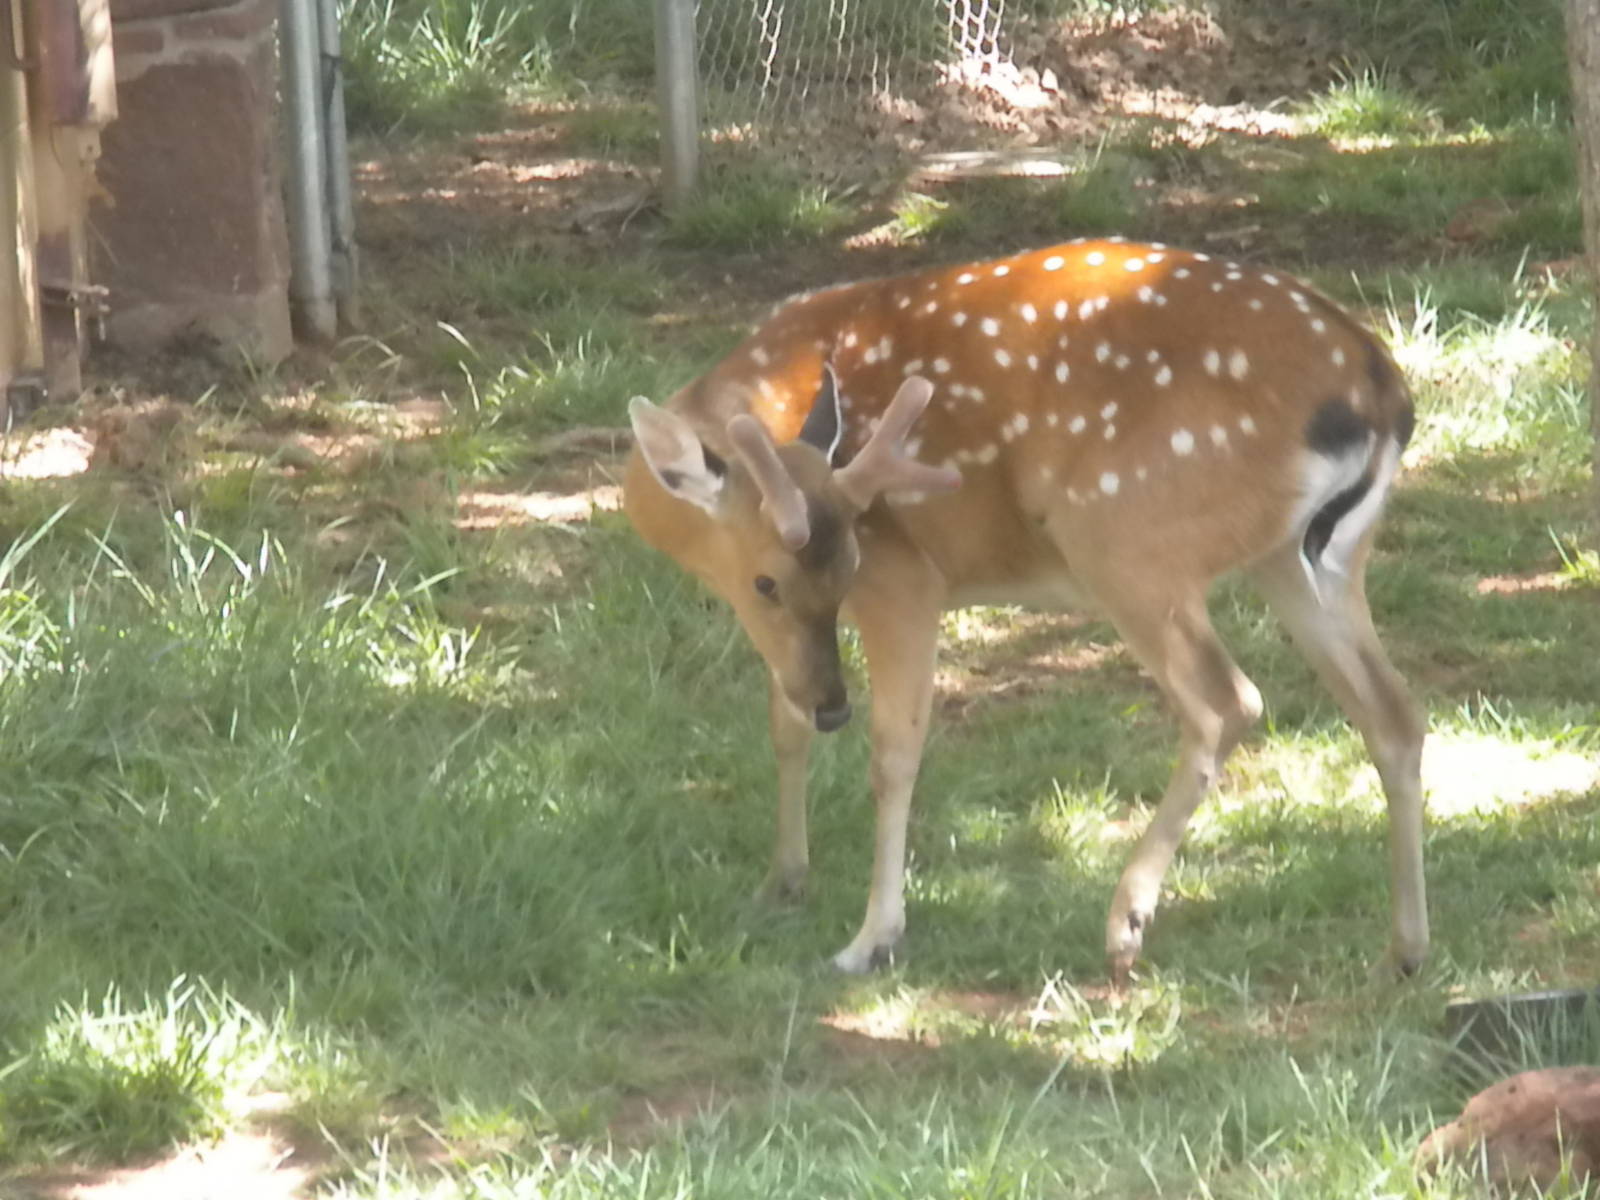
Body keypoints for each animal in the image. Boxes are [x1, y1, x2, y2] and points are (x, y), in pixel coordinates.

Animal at [623, 237, 1427, 981]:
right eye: (769, 582)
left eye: (847, 561)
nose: (833, 707)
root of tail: (1381, 392)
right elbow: (782, 727)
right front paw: (783, 879)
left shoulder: (905, 580)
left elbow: (894, 755)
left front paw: (871, 938)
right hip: (1307, 560)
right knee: (1394, 710)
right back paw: (1405, 948)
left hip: (1125, 536)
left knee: (1228, 701)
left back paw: (1124, 924)